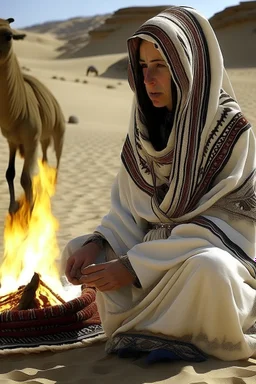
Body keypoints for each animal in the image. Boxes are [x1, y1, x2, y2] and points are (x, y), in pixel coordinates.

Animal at [0, 18, 65, 214]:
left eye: (9, 36)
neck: (16, 111)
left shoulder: (31, 140)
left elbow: (25, 179)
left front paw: (29, 214)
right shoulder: (12, 141)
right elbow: (10, 173)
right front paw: (13, 207)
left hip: (58, 132)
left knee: (57, 159)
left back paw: (53, 186)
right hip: (43, 138)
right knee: (44, 159)